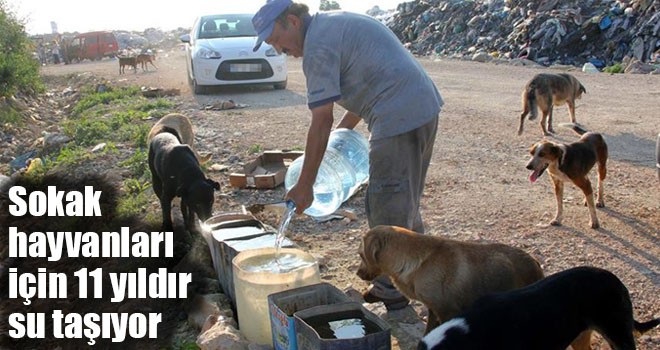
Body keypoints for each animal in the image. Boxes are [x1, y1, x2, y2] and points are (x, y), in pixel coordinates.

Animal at [356, 226, 540, 334]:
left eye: (361, 255)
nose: (357, 273)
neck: (418, 262)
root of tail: (535, 263)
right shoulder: (433, 310)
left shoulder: (447, 312)